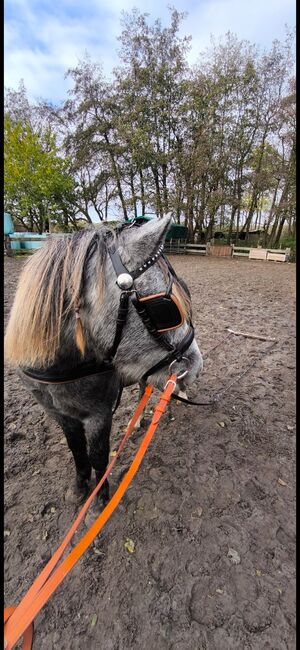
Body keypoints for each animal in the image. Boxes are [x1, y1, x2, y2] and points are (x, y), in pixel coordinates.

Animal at [4, 215, 203, 508]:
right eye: (165, 309)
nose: (195, 364)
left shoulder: (99, 414)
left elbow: (98, 454)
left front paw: (99, 497)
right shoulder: (60, 414)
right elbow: (77, 449)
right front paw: (79, 486)